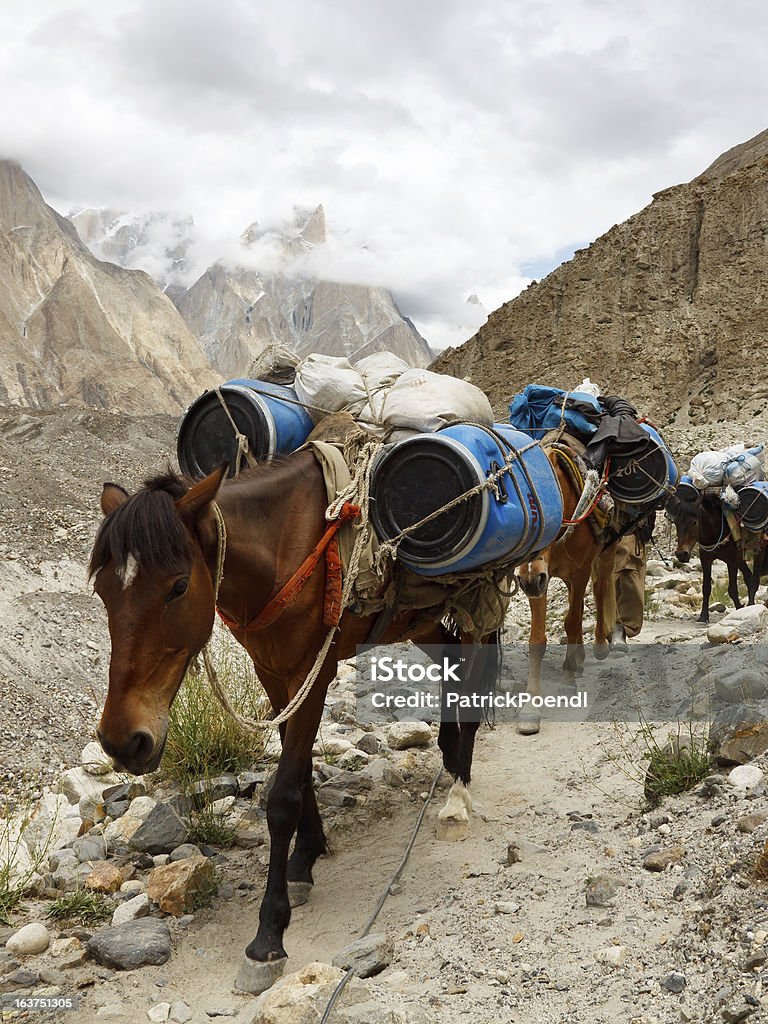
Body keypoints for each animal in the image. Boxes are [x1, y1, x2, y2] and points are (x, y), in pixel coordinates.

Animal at [87, 454, 501, 991]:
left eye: (178, 586)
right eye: (103, 591)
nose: (122, 741)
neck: (281, 549)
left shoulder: (313, 671)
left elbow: (283, 796)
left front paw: (268, 934)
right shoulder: (274, 673)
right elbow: (299, 769)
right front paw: (306, 858)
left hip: (474, 604)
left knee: (474, 680)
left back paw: (457, 799)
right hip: (424, 621)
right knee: (452, 668)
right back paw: (450, 758)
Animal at [518, 452, 618, 733]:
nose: (527, 580)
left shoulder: (579, 571)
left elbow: (572, 622)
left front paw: (567, 679)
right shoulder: (539, 580)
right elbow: (537, 640)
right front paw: (530, 708)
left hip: (606, 553)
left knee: (600, 589)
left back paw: (598, 646)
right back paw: (581, 657)